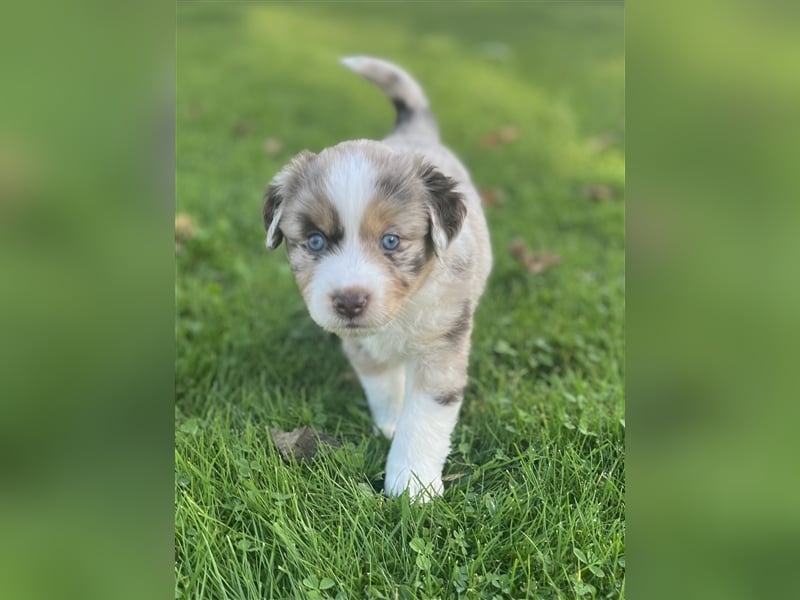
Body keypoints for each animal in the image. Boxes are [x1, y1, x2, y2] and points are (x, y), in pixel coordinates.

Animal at [262, 56, 490, 500]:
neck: (402, 313)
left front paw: (413, 485)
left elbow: (424, 418)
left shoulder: (441, 343)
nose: (349, 302)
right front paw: (390, 424)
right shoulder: (361, 344)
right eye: (314, 241)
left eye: (391, 241)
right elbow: (382, 386)